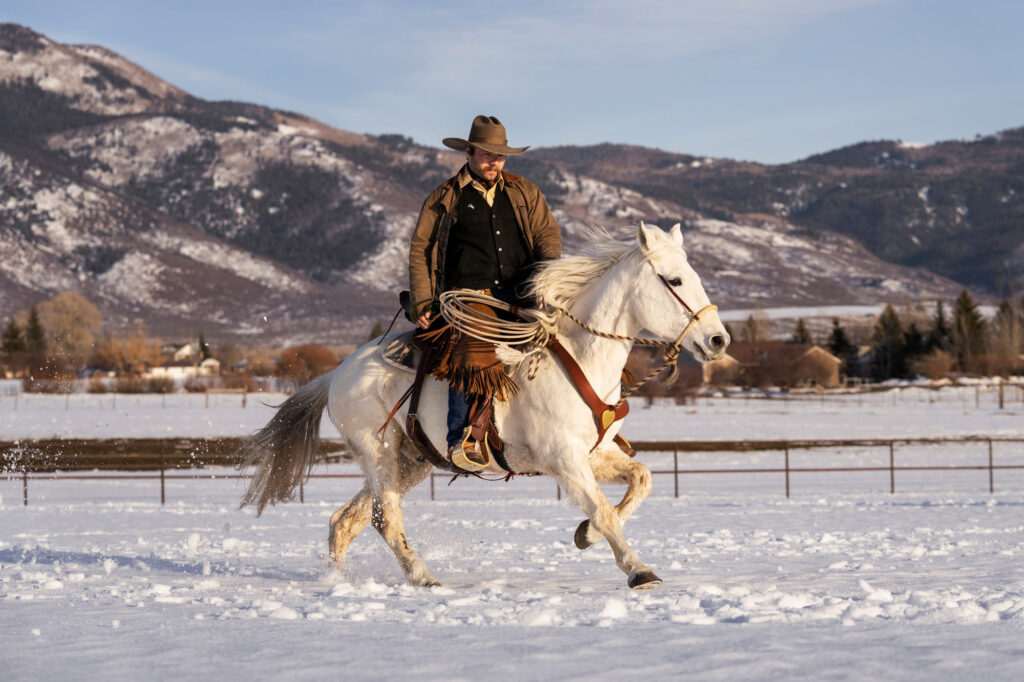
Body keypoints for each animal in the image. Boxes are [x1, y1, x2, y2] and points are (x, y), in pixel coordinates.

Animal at [239, 223, 729, 589]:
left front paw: (585, 535)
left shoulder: (595, 453)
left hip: (410, 460)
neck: (579, 360)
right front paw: (638, 569)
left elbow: (641, 480)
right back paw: (423, 577)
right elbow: (604, 509)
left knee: (346, 520)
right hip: (377, 452)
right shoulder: (563, 459)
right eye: (675, 280)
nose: (719, 340)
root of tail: (337, 374)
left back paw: (337, 582)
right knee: (384, 518)